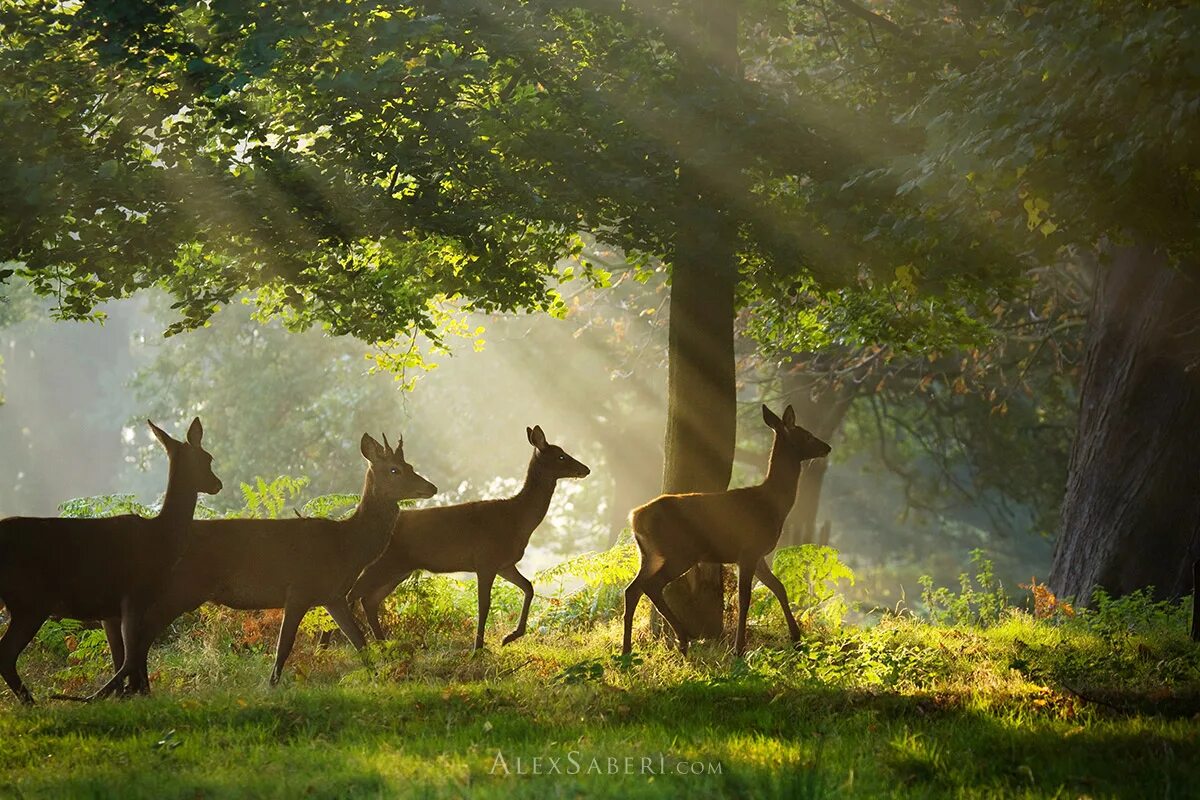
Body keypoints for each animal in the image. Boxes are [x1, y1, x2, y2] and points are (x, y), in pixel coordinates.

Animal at [0, 417, 220, 705]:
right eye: (208, 458)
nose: (218, 484)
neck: (161, 539)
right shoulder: (135, 595)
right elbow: (134, 654)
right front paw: (134, 694)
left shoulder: (110, 611)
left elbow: (122, 657)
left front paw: (124, 695)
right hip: (29, 598)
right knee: (5, 654)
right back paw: (33, 704)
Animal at [96, 431, 436, 695]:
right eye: (394, 470)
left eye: (410, 465)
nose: (431, 487)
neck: (347, 547)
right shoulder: (299, 588)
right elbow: (284, 645)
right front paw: (271, 686)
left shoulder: (332, 595)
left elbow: (358, 640)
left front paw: (379, 677)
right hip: (181, 588)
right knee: (143, 633)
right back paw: (125, 690)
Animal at [324, 424, 590, 652]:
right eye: (561, 456)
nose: (585, 469)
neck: (517, 519)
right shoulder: (485, 560)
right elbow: (484, 604)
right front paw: (478, 648)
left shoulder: (504, 563)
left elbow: (529, 587)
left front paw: (510, 636)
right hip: (381, 564)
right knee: (350, 595)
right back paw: (327, 646)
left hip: (399, 570)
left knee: (369, 600)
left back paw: (380, 644)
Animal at [624, 407, 830, 662]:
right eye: (808, 435)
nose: (827, 447)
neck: (772, 504)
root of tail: (635, 517)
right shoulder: (748, 550)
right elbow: (745, 599)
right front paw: (739, 649)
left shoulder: (759, 554)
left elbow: (779, 587)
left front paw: (796, 638)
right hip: (680, 551)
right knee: (651, 585)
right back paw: (683, 640)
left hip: (650, 555)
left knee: (632, 590)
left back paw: (626, 650)